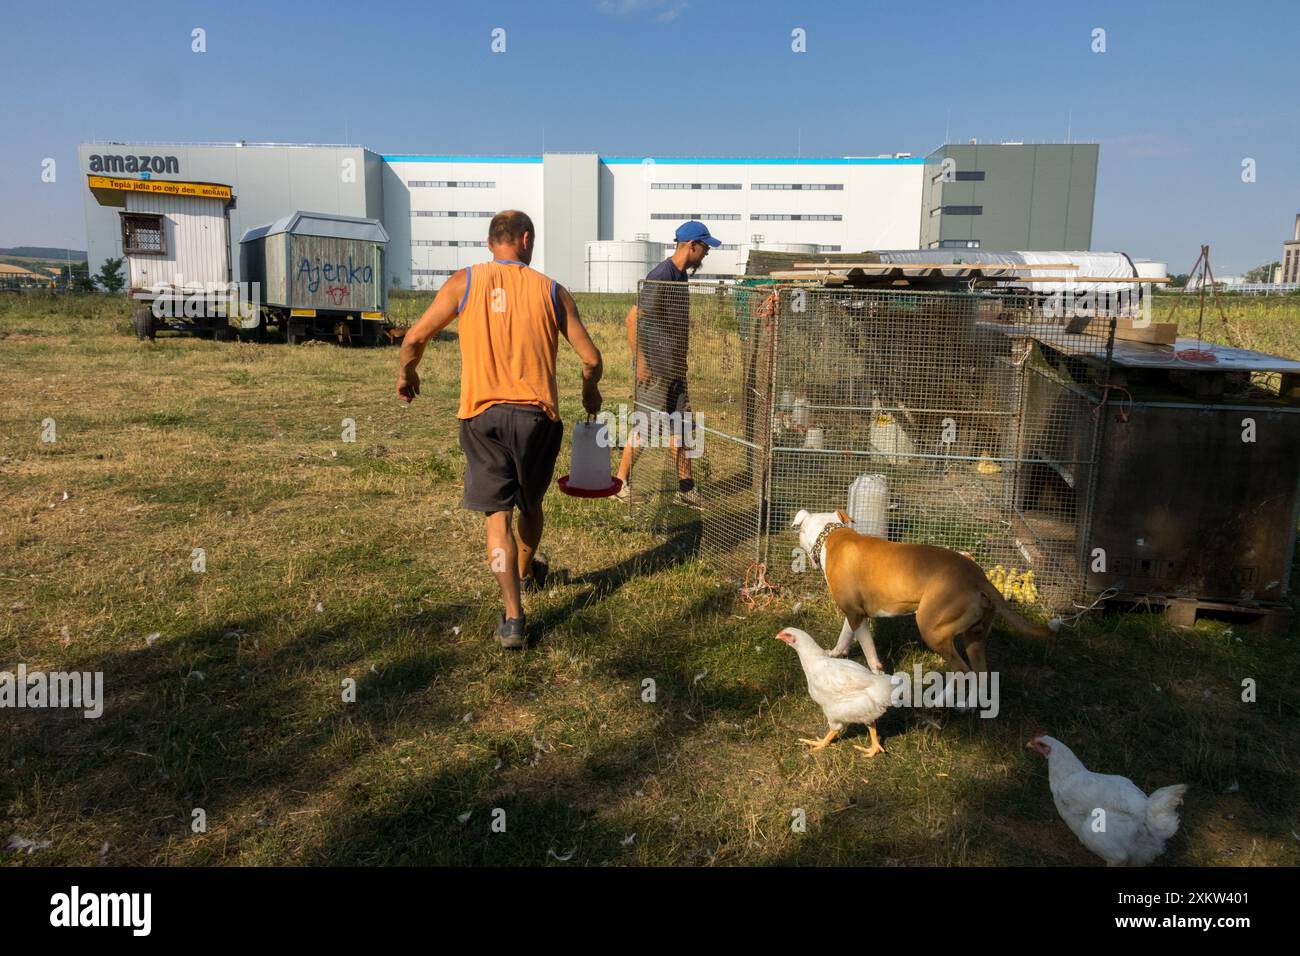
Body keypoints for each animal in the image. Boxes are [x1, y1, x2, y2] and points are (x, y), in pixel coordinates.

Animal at [790, 512, 1055, 676]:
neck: (831, 535)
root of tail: (978, 578)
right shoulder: (854, 613)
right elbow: (845, 635)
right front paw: (835, 654)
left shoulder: (856, 615)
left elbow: (869, 650)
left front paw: (876, 672)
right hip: (974, 637)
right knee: (980, 676)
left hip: (931, 627)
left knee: (963, 672)